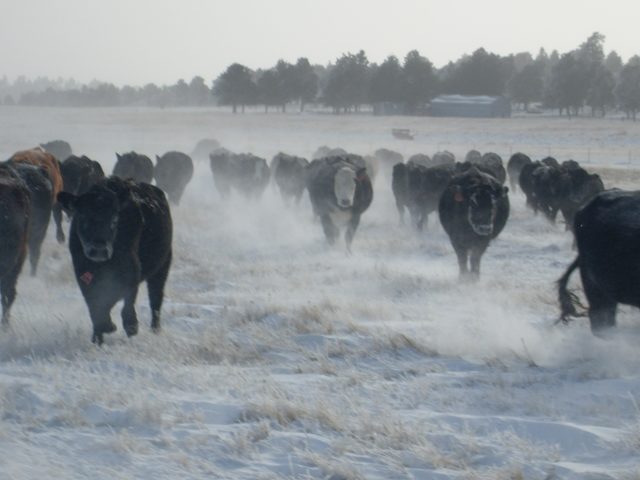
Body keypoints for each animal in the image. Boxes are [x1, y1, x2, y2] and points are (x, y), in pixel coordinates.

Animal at [57, 176, 172, 345]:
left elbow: (122, 302)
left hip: (162, 268)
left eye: (114, 219)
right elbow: (95, 306)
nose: (99, 249)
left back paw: (154, 330)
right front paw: (100, 335)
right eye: (82, 217)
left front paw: (128, 327)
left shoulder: (131, 273)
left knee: (155, 299)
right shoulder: (83, 275)